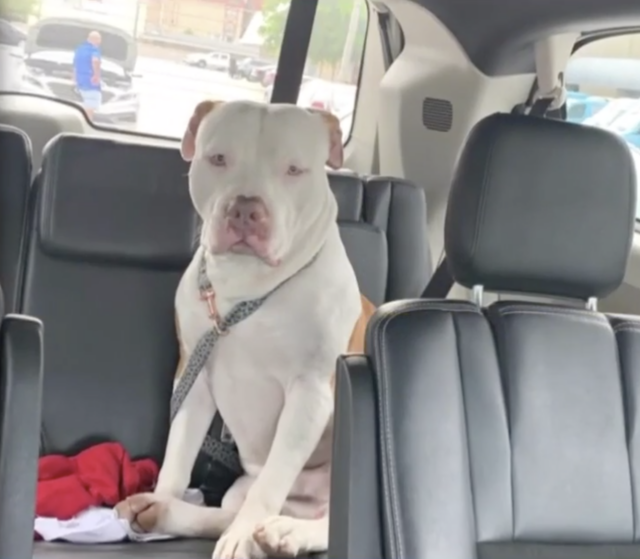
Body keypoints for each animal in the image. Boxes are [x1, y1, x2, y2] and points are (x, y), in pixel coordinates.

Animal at [116, 101, 376, 559]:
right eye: (218, 158)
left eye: (294, 169)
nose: (246, 209)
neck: (249, 288)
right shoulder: (193, 379)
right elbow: (177, 457)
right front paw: (163, 499)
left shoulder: (309, 396)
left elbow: (272, 482)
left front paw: (244, 537)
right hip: (240, 484)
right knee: (229, 507)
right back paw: (163, 512)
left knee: (333, 521)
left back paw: (283, 532)